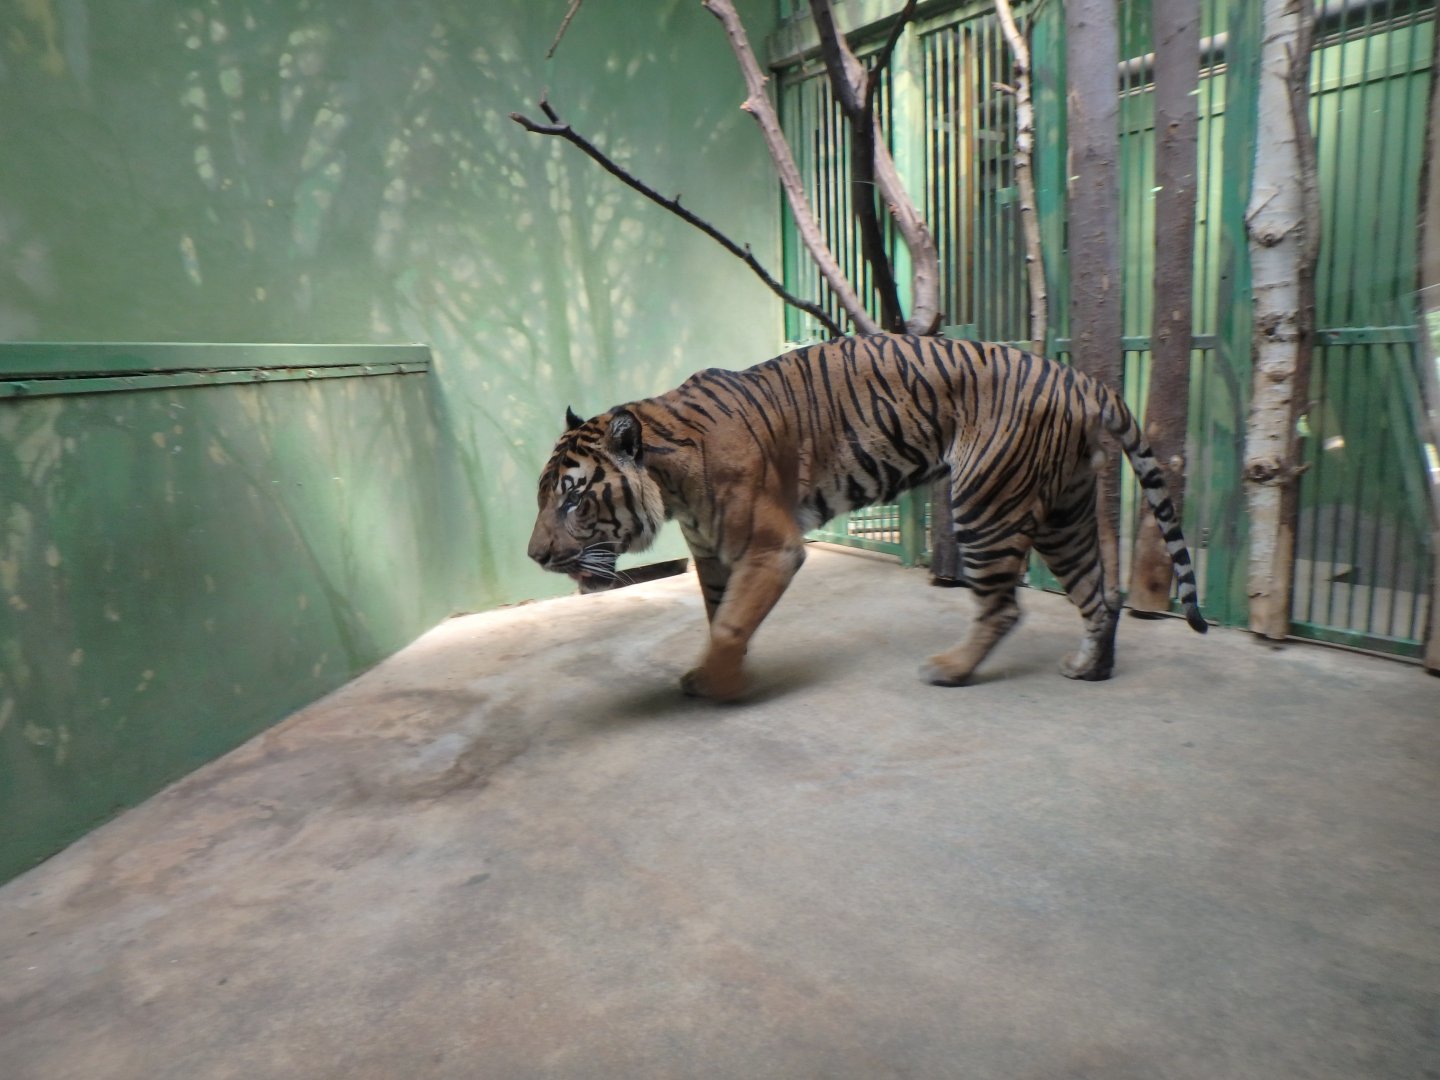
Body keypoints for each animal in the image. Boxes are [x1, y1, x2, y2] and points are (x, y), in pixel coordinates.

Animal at [527, 333, 1207, 701]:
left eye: (573, 497)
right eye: (543, 497)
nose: (535, 557)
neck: (670, 486)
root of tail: (1076, 378)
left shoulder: (771, 548)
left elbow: (730, 623)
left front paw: (722, 686)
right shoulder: (714, 558)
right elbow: (721, 618)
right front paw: (715, 671)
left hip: (984, 501)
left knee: (1004, 606)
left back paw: (949, 669)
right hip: (1065, 510)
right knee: (1098, 594)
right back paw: (1090, 669)